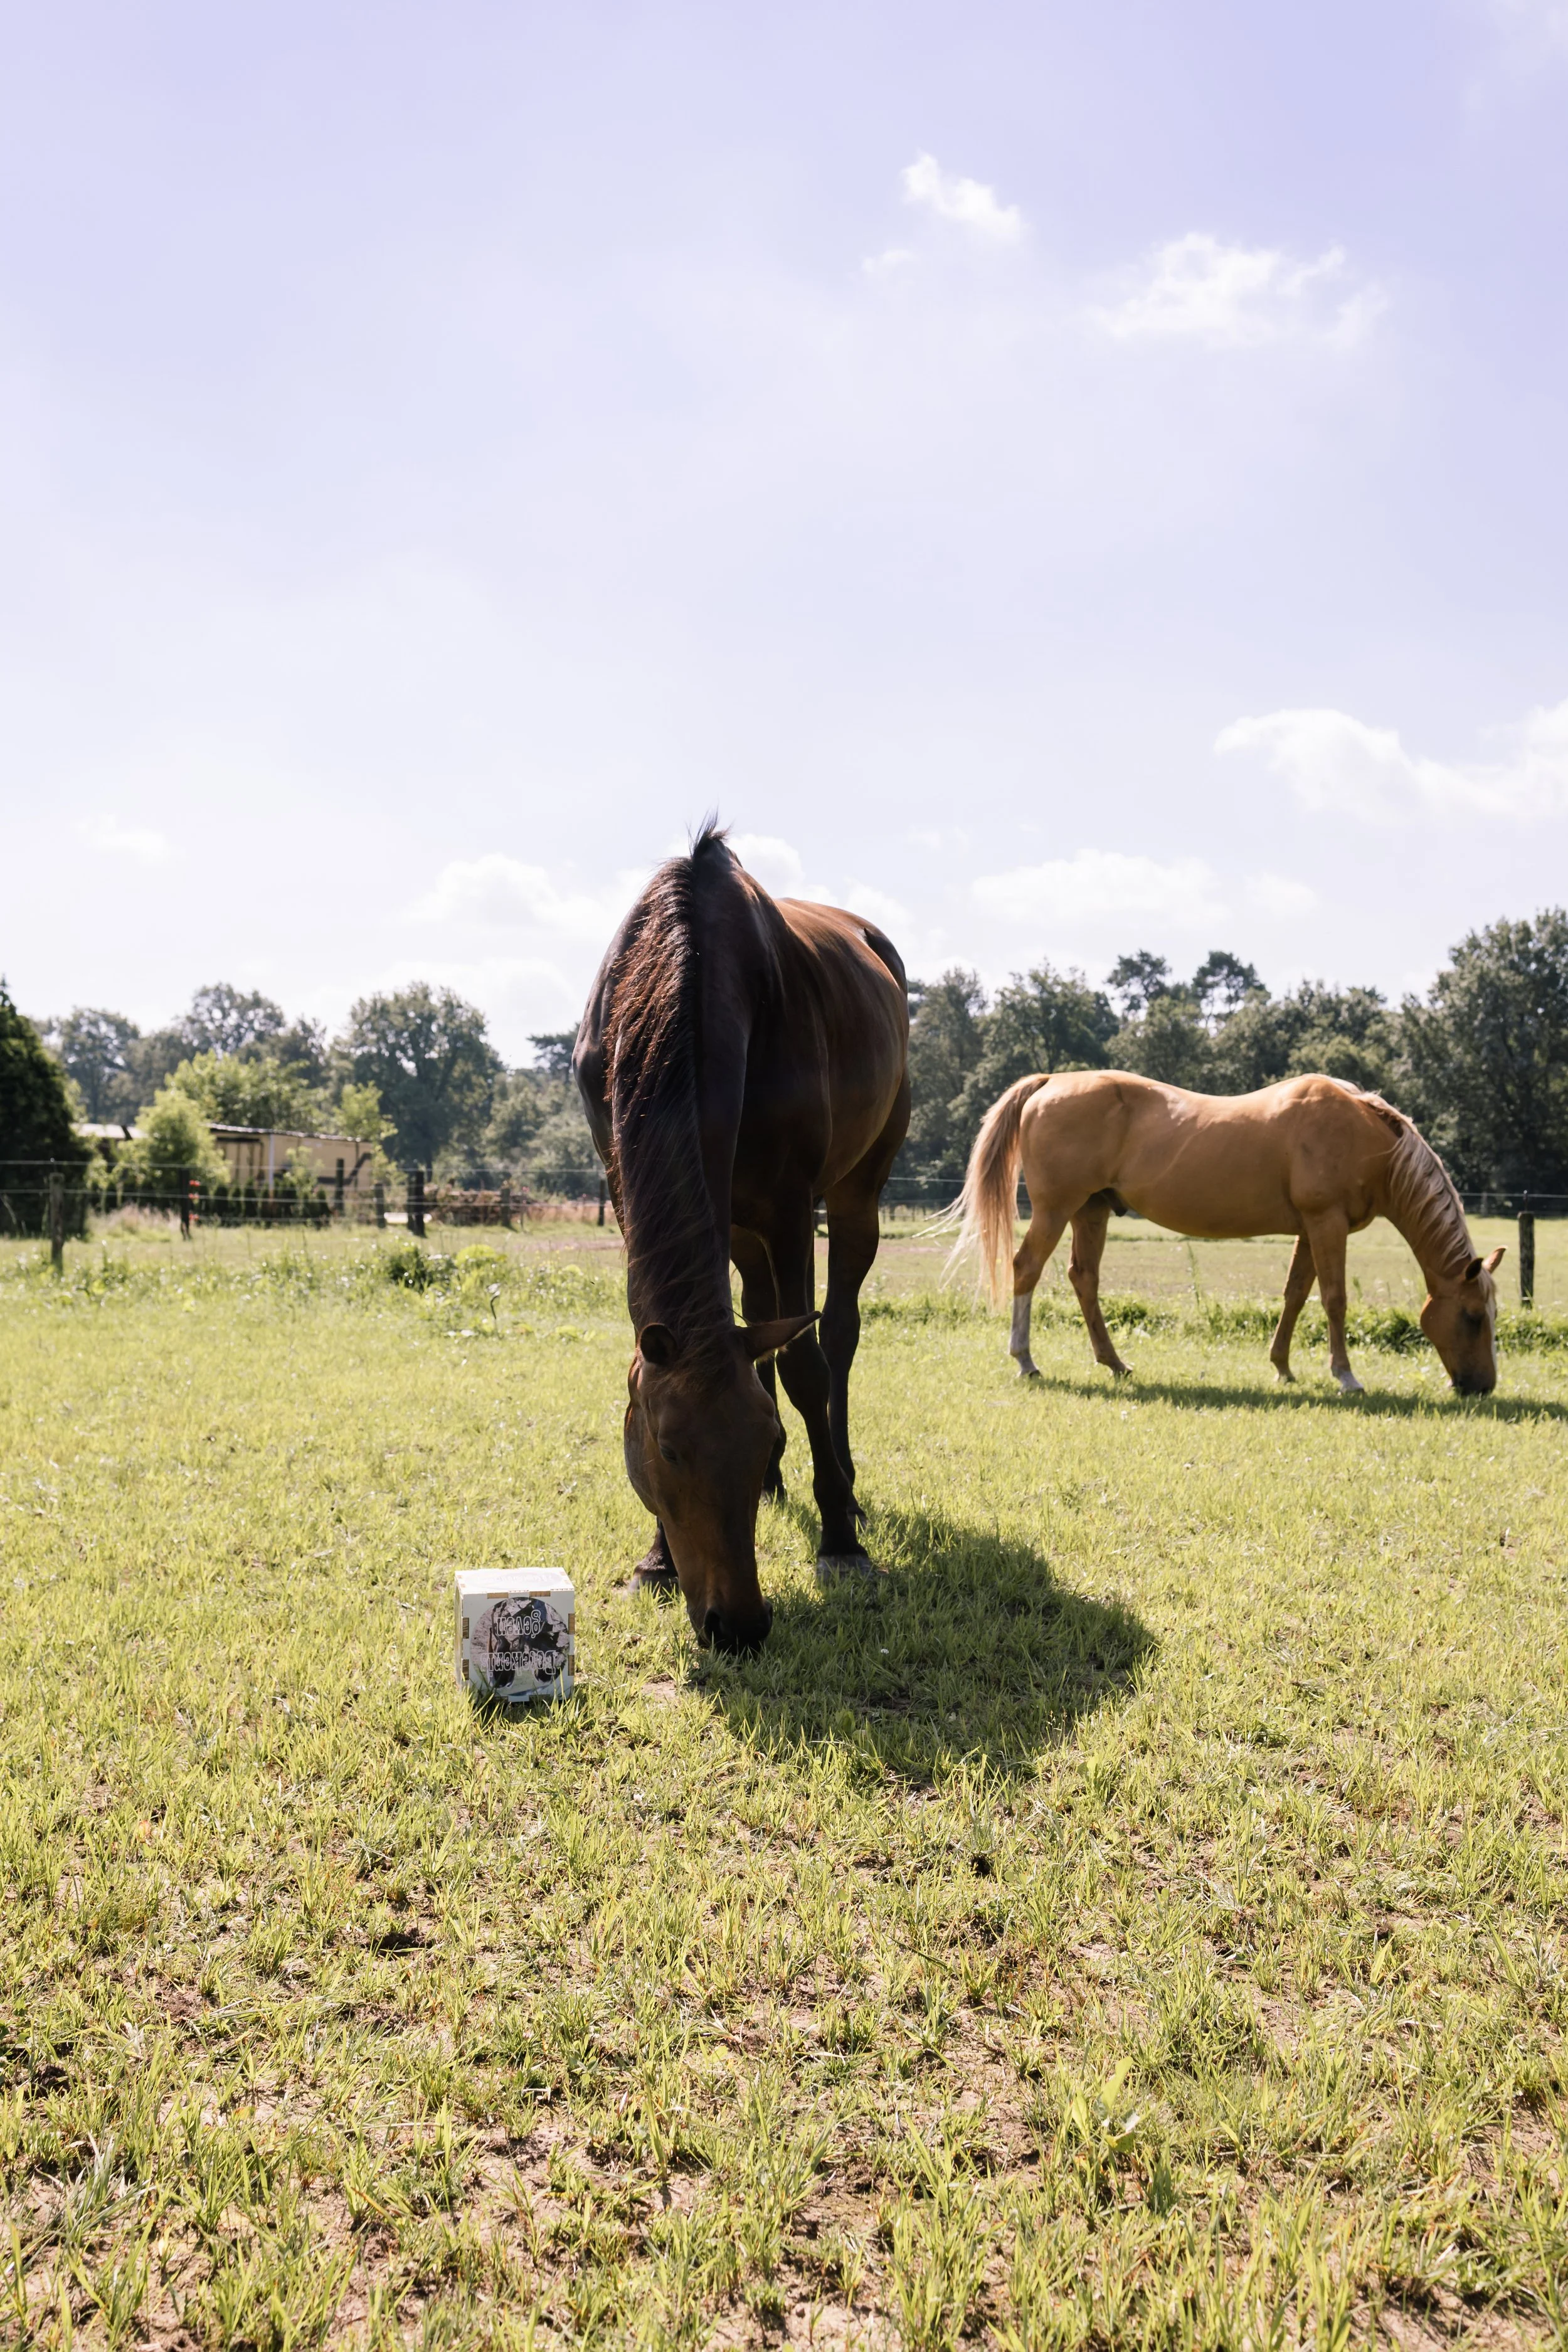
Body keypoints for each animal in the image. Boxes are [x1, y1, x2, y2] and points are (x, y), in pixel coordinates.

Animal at [573, 825, 911, 1653]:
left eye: (758, 1438)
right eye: (666, 1448)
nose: (740, 1625)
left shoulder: (790, 1208)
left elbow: (805, 1368)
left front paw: (838, 1540)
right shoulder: (628, 1185)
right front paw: (657, 1560)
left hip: (853, 1194)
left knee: (839, 1333)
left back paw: (843, 1490)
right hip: (736, 1225)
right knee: (758, 1309)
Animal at [951, 1070, 1504, 1396]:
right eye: (1474, 1316)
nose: (1482, 1387)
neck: (1365, 1135)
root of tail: (1050, 1083)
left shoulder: (1311, 1228)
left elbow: (1296, 1295)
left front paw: (1283, 1367)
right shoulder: (1326, 1223)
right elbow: (1334, 1299)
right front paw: (1346, 1376)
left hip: (1092, 1211)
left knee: (1083, 1278)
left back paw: (1115, 1363)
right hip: (1056, 1208)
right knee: (1027, 1268)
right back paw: (1025, 1360)